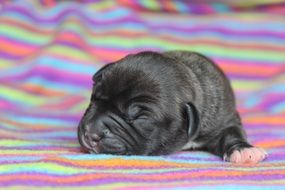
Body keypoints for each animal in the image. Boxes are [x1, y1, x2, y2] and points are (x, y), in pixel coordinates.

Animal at [77, 50, 266, 163]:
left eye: (139, 118)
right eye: (94, 98)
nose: (90, 133)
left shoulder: (225, 119)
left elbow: (231, 132)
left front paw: (243, 150)